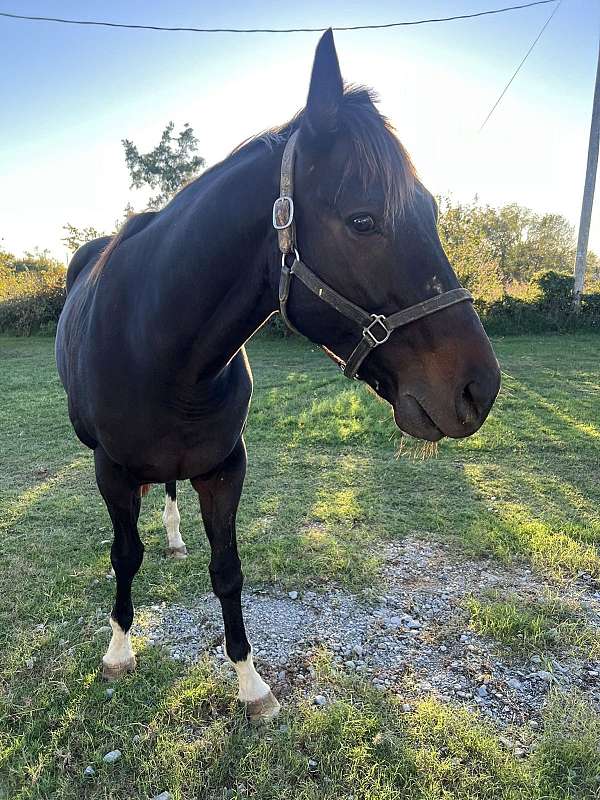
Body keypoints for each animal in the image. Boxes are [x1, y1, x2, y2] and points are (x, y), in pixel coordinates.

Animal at [55, 30, 500, 721]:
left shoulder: (224, 468)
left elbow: (227, 570)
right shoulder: (114, 470)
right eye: (364, 219)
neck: (162, 351)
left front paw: (250, 683)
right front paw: (119, 652)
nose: (479, 388)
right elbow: (125, 556)